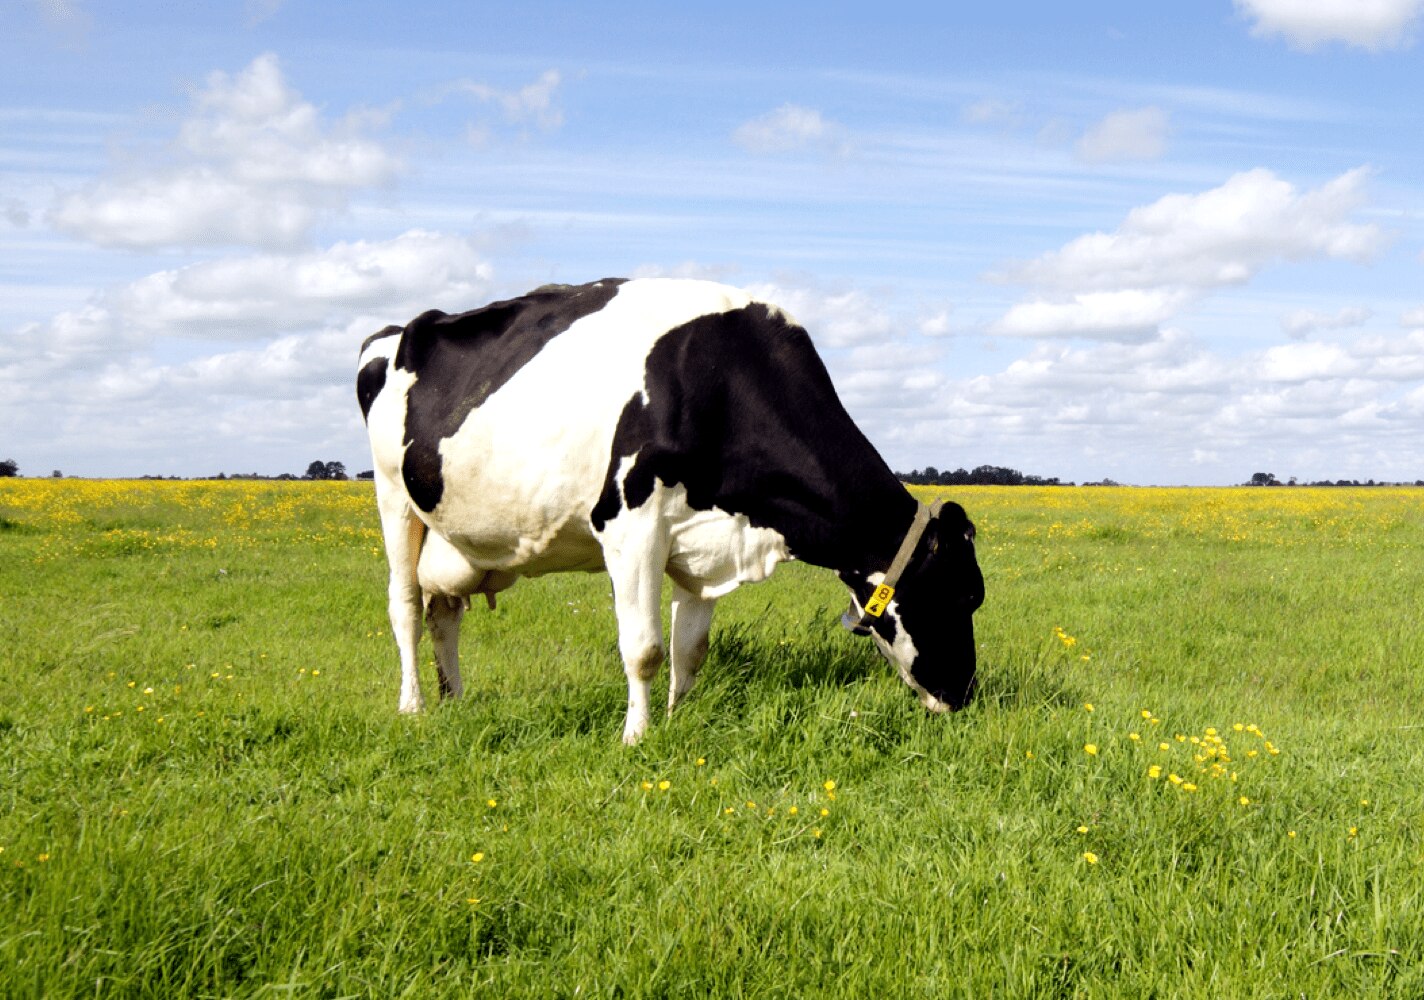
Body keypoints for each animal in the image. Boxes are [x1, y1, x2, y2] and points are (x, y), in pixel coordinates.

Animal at [357, 277, 984, 743]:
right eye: (959, 596)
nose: (964, 695)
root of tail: (397, 331)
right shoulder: (630, 526)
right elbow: (645, 649)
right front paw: (636, 737)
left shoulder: (706, 542)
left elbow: (691, 648)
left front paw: (679, 718)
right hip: (394, 498)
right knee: (405, 606)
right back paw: (414, 705)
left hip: (452, 536)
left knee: (444, 613)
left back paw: (456, 699)